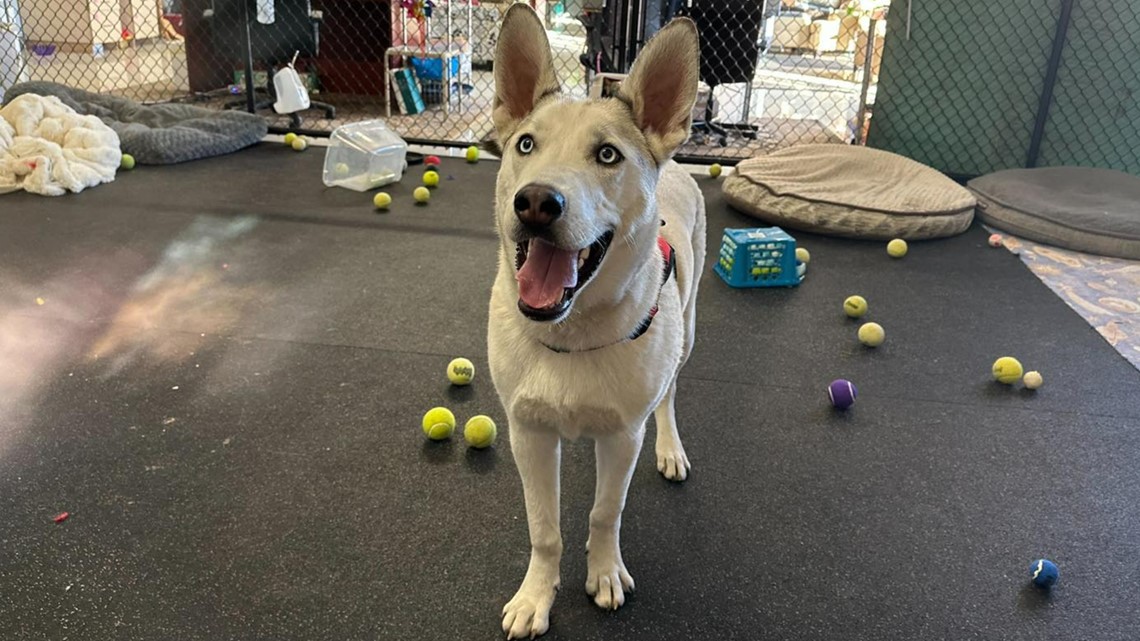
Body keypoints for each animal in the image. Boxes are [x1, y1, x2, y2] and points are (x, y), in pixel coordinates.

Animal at [487, 6, 702, 638]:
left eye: (608, 155)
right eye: (526, 144)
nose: (536, 202)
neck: (571, 335)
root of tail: (677, 167)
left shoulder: (623, 435)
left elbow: (607, 511)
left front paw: (604, 572)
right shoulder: (527, 433)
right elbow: (544, 528)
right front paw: (537, 595)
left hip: (687, 330)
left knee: (670, 394)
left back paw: (670, 447)